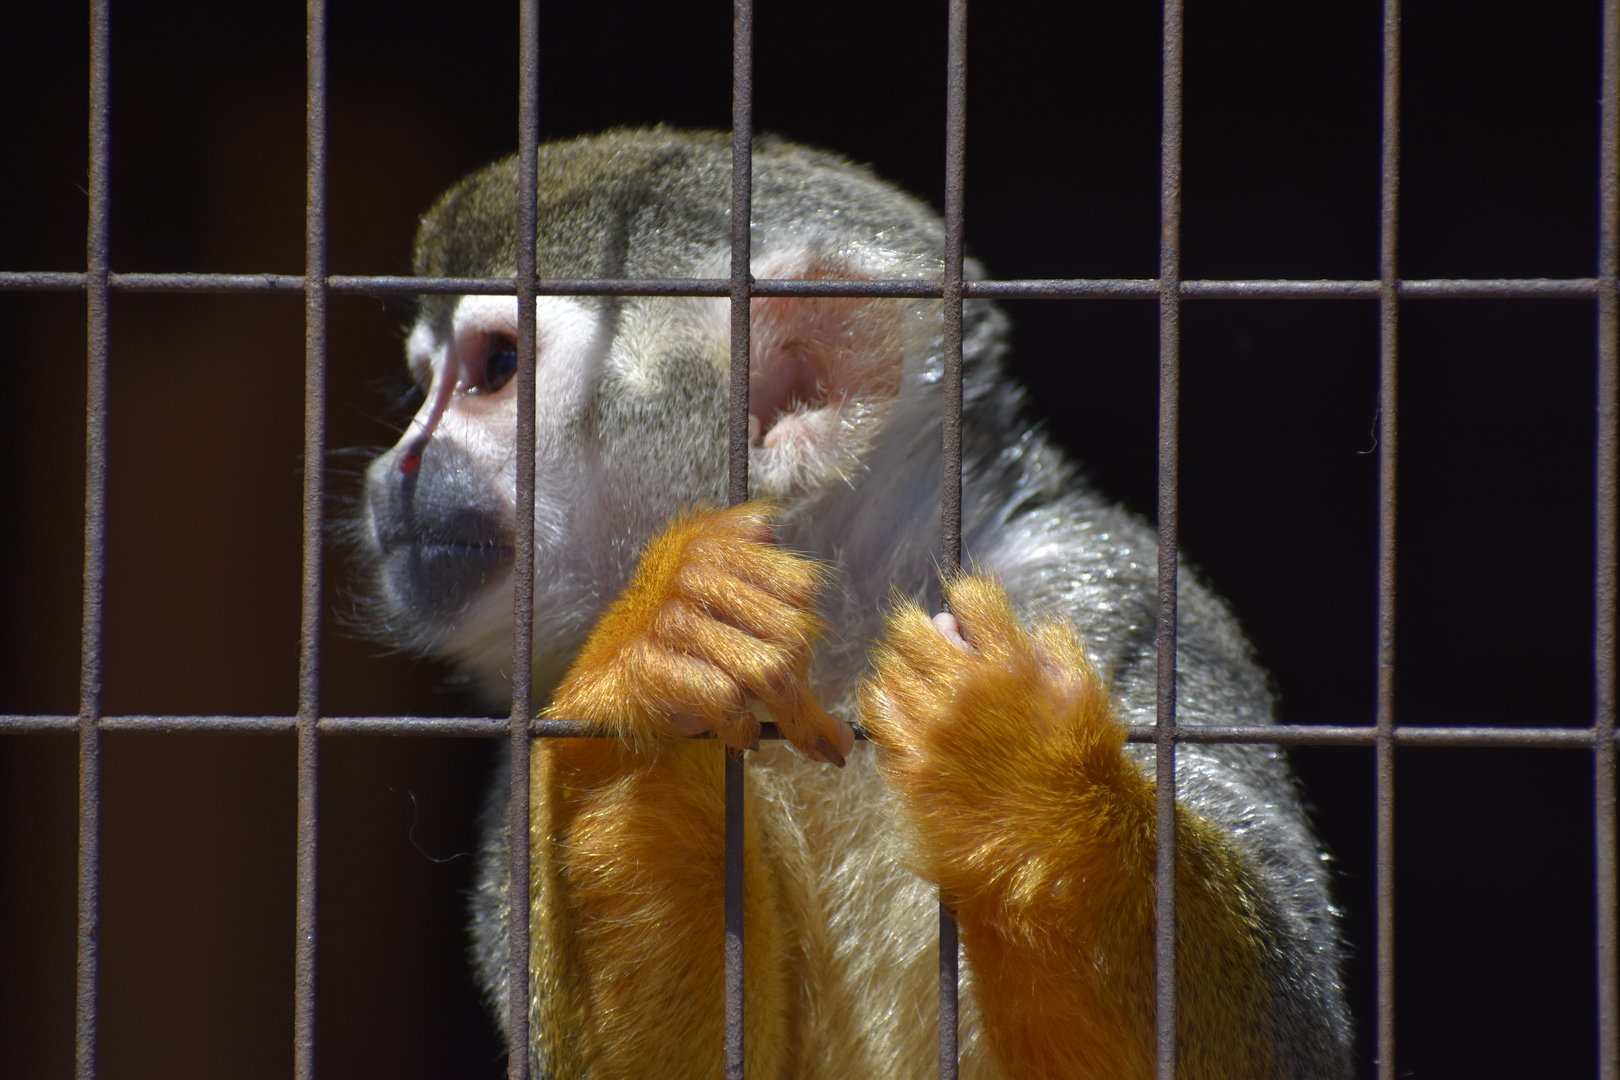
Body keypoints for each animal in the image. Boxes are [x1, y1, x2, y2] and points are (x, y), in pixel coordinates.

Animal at [351, 127, 1352, 1078]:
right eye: (422, 384)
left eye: (495, 368)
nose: (395, 470)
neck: (848, 623)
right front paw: (654, 657)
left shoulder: (1104, 582)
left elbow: (1288, 1033)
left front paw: (1016, 754)